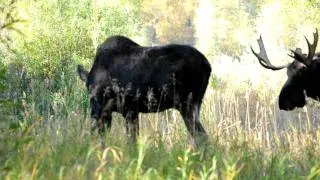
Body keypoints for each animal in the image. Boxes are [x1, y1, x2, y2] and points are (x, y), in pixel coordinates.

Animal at [77, 35, 211, 145]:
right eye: (88, 90)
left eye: (93, 91)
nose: (93, 112)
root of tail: (208, 66)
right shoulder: (117, 111)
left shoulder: (129, 109)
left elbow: (131, 139)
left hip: (187, 105)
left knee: (201, 135)